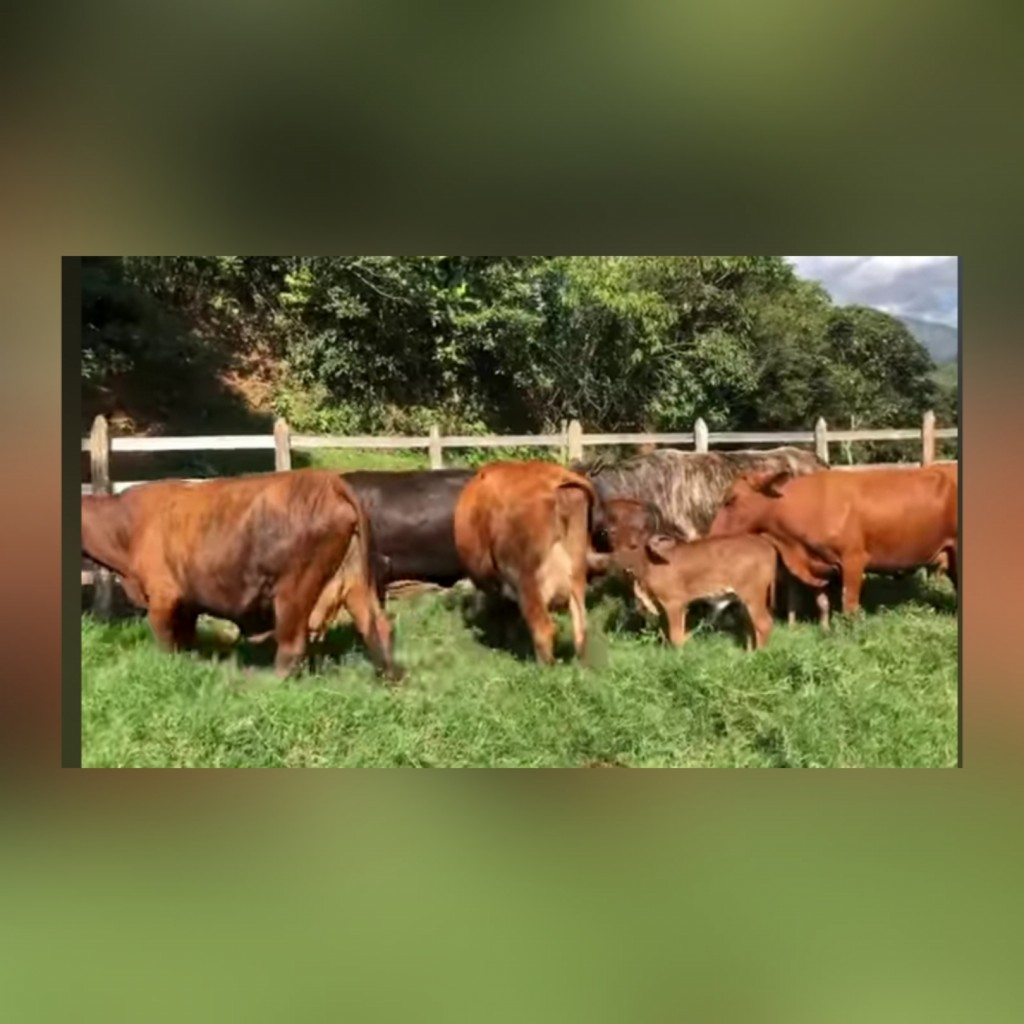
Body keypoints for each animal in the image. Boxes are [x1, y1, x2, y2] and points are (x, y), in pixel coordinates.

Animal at [81, 469, 400, 680]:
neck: (127, 525)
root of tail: (328, 480)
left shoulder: (163, 597)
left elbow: (166, 643)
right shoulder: (188, 604)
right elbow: (185, 642)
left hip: (294, 591)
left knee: (291, 644)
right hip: (355, 582)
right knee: (377, 627)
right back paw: (389, 679)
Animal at [595, 498, 782, 649]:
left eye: (641, 532)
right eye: (611, 531)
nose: (623, 558)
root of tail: (765, 543)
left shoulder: (674, 602)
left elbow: (676, 637)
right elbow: (666, 633)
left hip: (753, 593)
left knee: (764, 624)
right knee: (752, 628)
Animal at [707, 464, 958, 617]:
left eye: (731, 500)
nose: (711, 536)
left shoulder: (854, 560)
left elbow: (849, 604)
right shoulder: (820, 564)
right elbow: (823, 603)